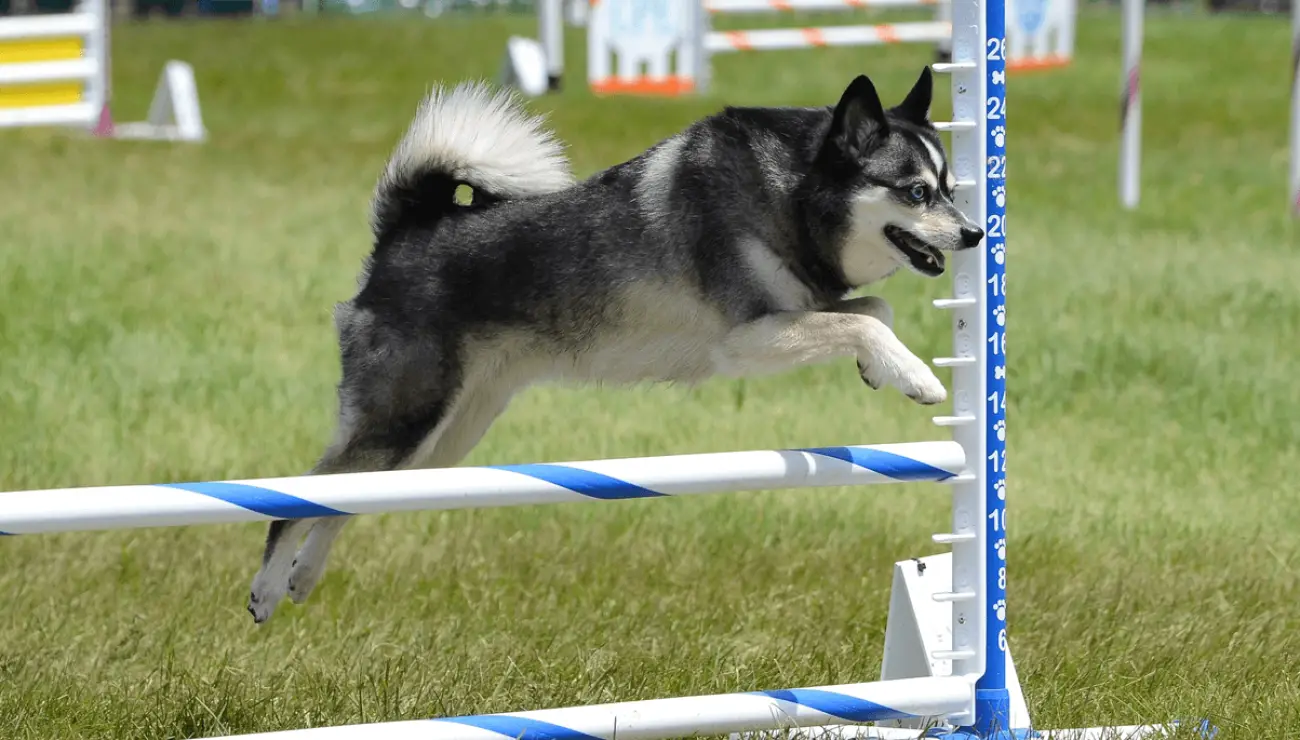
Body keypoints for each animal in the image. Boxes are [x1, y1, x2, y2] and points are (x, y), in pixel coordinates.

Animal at [248, 69, 982, 624]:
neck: (793, 194)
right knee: (300, 495)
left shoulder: (794, 314)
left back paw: (303, 577)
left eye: (952, 190)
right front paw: (917, 377)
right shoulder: (745, 339)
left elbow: (874, 310)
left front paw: (881, 370)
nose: (975, 234)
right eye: (917, 192)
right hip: (405, 417)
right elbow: (867, 319)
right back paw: (267, 588)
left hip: (443, 439)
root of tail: (404, 231)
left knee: (347, 499)